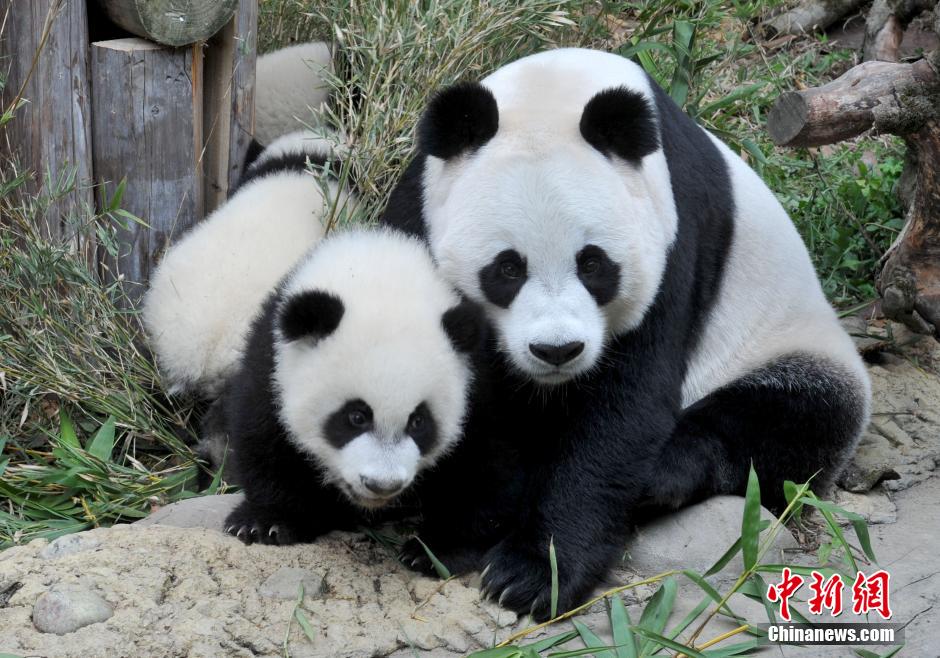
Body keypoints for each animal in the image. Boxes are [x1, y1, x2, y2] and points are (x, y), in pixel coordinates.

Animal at [384, 48, 872, 616]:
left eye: (593, 264)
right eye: (507, 269)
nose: (557, 351)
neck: (556, 87)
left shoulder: (674, 241)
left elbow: (624, 407)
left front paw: (532, 575)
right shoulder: (422, 215)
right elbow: (470, 407)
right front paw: (446, 541)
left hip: (788, 341)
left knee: (794, 420)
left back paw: (664, 476)